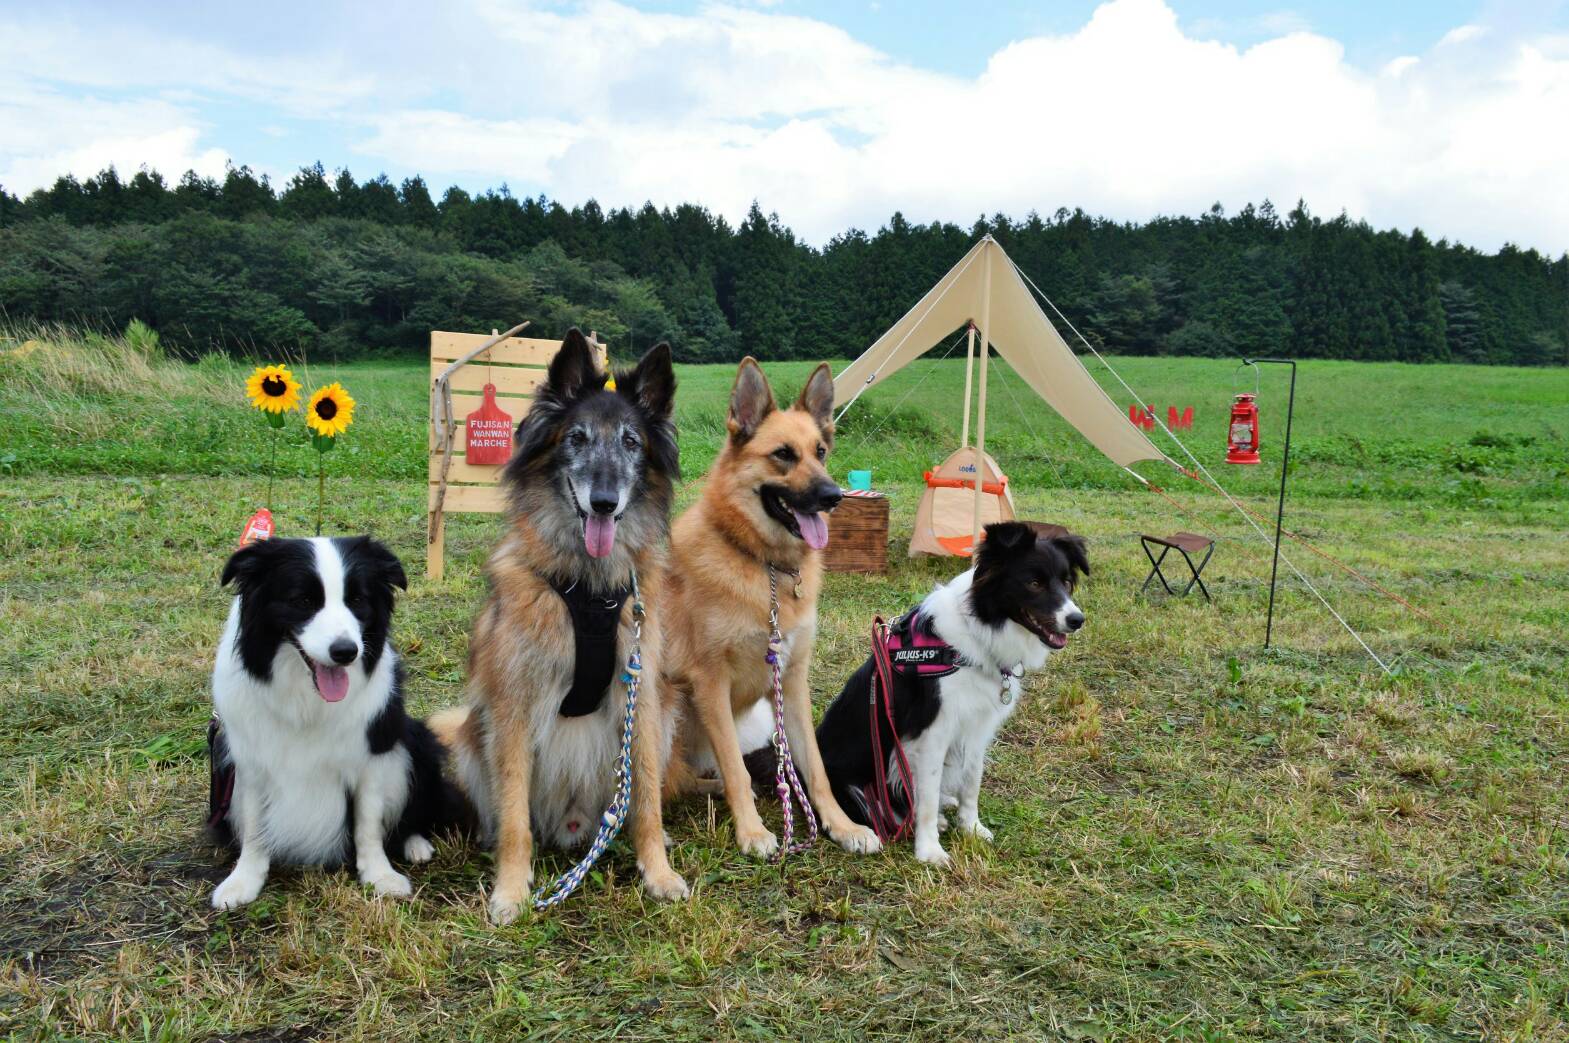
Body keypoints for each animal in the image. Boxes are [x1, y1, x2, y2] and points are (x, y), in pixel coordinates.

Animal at [205, 533, 458, 909]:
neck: (306, 701)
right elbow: (253, 825)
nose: (345, 652)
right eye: (303, 600)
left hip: (416, 740)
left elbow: (368, 823)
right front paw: (243, 880)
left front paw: (379, 875)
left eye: (358, 600)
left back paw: (416, 844)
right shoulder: (249, 760)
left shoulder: (372, 756)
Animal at [436, 327, 693, 922]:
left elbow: (646, 800)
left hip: (666, 715)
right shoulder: (512, 705)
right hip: (472, 734)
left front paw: (658, 873)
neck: (588, 587)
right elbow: (513, 816)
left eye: (631, 442)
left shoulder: (641, 695)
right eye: (576, 438)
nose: (604, 502)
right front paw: (511, 890)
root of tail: (575, 825)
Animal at [658, 356, 884, 853]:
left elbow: (814, 768)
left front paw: (842, 826)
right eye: (783, 454)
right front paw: (752, 831)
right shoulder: (711, 684)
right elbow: (736, 768)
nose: (833, 497)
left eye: (821, 452)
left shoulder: (792, 682)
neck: (765, 568)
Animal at [815, 517, 1085, 859]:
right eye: (1034, 583)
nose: (1077, 619)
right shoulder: (933, 733)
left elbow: (971, 782)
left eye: (1066, 582)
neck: (975, 633)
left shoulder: (977, 726)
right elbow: (927, 797)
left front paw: (971, 828)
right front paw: (929, 850)